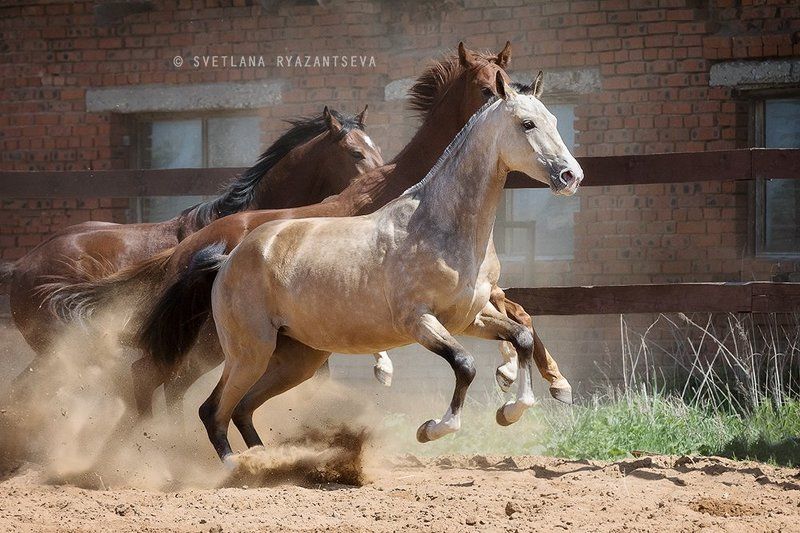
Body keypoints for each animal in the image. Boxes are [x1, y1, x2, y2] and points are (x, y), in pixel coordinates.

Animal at [194, 73, 583, 461]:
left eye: (555, 120)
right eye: (527, 123)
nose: (571, 176)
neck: (440, 226)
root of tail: (231, 258)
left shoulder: (469, 318)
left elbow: (522, 337)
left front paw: (511, 410)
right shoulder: (419, 321)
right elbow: (465, 364)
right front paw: (432, 429)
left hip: (295, 360)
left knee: (242, 408)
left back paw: (269, 462)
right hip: (248, 353)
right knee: (212, 411)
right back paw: (237, 467)